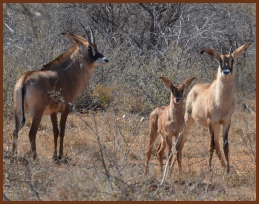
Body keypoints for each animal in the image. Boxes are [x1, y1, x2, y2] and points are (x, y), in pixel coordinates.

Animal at [12, 25, 109, 161]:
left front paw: (54, 155)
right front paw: (61, 155)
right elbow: (62, 130)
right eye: (90, 48)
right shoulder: (66, 108)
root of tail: (25, 78)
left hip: (18, 111)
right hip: (37, 113)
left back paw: (13, 157)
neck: (66, 73)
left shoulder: (53, 111)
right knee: (31, 133)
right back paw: (35, 158)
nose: (106, 59)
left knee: (15, 131)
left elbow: (55, 131)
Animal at [175, 41, 252, 174]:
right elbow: (211, 145)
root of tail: (194, 88)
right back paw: (178, 168)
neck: (221, 102)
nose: (226, 71)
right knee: (181, 141)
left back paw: (223, 166)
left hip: (216, 126)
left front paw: (228, 170)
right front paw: (209, 169)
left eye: (232, 60)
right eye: (220, 60)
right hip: (189, 120)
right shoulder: (211, 121)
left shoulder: (226, 122)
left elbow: (225, 145)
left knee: (217, 144)